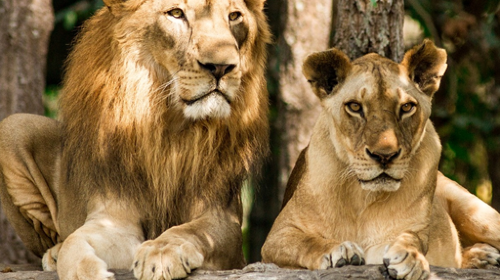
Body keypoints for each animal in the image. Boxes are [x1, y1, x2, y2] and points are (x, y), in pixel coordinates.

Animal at [0, 0, 272, 280]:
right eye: (176, 13)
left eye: (234, 16)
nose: (221, 68)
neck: (169, 126)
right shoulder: (113, 218)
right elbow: (74, 242)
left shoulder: (224, 220)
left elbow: (190, 230)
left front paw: (161, 252)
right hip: (12, 126)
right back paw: (53, 253)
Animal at [260, 40, 500, 280]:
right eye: (355, 107)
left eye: (406, 107)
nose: (384, 155)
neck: (361, 197)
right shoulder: (277, 235)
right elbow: (307, 242)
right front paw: (339, 250)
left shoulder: (414, 230)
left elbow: (412, 237)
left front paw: (410, 257)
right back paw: (483, 256)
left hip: (476, 212)